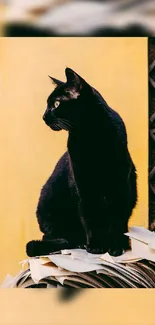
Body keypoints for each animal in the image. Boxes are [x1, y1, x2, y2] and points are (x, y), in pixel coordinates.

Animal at [26, 67, 137, 256]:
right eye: (48, 104)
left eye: (56, 104)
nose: (43, 116)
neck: (90, 135)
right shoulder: (82, 184)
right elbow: (89, 217)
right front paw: (95, 246)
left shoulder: (120, 183)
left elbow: (116, 219)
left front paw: (115, 247)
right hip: (48, 202)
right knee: (52, 236)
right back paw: (77, 243)